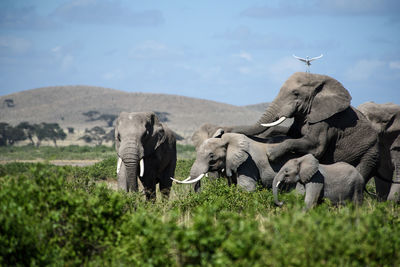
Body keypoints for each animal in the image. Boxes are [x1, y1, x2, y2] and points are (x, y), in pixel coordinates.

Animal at [225, 72, 382, 198]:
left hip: (369, 154)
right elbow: (291, 134)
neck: (319, 82)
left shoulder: (326, 120)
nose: (224, 130)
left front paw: (271, 154)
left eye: (296, 93)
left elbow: (315, 147)